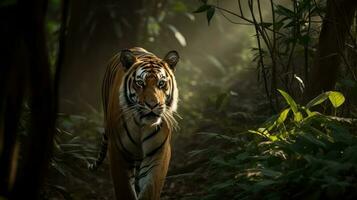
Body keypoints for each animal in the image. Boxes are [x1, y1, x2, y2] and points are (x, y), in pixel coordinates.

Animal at [88, 47, 179, 200]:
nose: (152, 105)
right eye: (140, 83)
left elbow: (150, 188)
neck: (142, 125)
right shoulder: (118, 152)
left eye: (161, 83)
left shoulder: (159, 152)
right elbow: (125, 190)